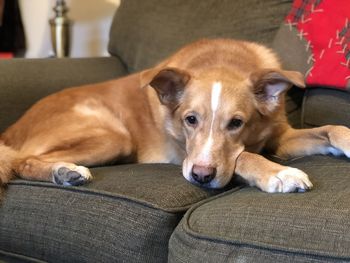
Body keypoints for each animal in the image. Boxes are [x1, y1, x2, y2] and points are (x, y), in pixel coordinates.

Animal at [0, 39, 350, 195]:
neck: (222, 61)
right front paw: (279, 173)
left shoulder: (281, 137)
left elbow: (332, 128)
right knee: (21, 162)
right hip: (114, 137)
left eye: (236, 123)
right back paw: (65, 172)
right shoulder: (185, 154)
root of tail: (11, 129)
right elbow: (244, 157)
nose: (201, 177)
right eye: (190, 120)